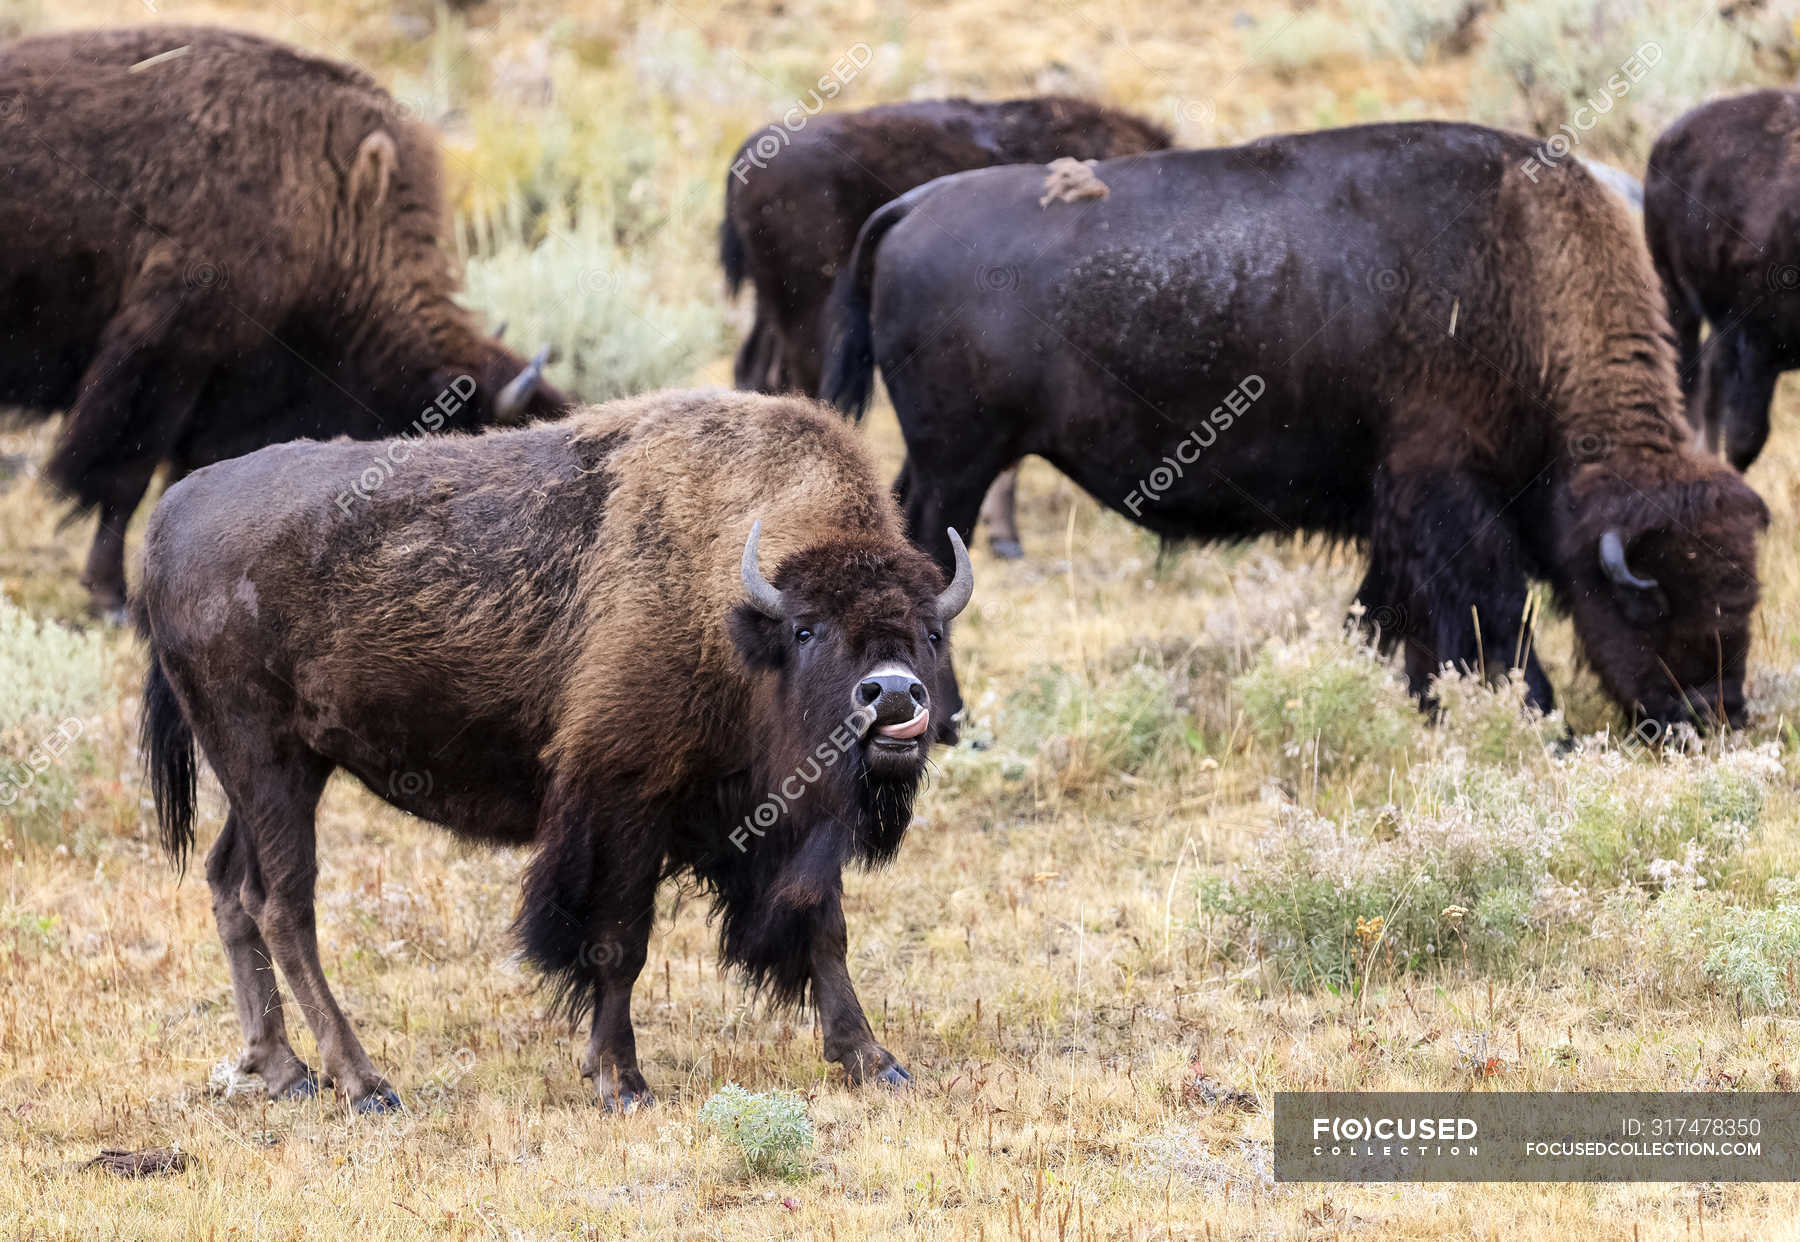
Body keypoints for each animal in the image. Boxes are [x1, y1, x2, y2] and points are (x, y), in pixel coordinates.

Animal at [135, 392, 979, 1108]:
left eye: (931, 634)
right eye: (807, 630)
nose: (893, 697)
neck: (734, 613)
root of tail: (172, 511)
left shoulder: (785, 820)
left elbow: (824, 929)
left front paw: (875, 1060)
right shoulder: (624, 805)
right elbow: (619, 942)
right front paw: (620, 1080)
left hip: (277, 772)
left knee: (230, 885)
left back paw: (281, 1069)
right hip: (265, 760)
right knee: (283, 903)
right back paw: (364, 1082)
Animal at [824, 118, 1764, 727]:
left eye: (1746, 594)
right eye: (1650, 600)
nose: (1711, 717)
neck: (1520, 273)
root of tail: (906, 208)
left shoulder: (1396, 514)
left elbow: (1390, 612)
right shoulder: (1449, 496)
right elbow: (1490, 616)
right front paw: (1540, 722)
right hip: (960, 459)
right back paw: (950, 722)